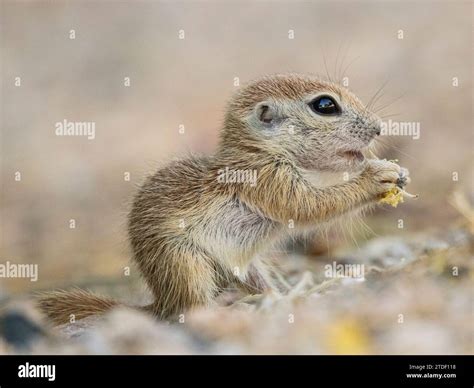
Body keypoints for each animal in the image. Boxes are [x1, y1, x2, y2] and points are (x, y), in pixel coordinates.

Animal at [39, 74, 412, 322]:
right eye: (325, 105)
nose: (379, 128)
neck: (261, 151)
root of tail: (160, 301)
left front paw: (395, 172)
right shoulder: (266, 179)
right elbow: (308, 206)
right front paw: (377, 177)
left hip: (247, 267)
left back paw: (285, 295)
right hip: (186, 263)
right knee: (190, 310)